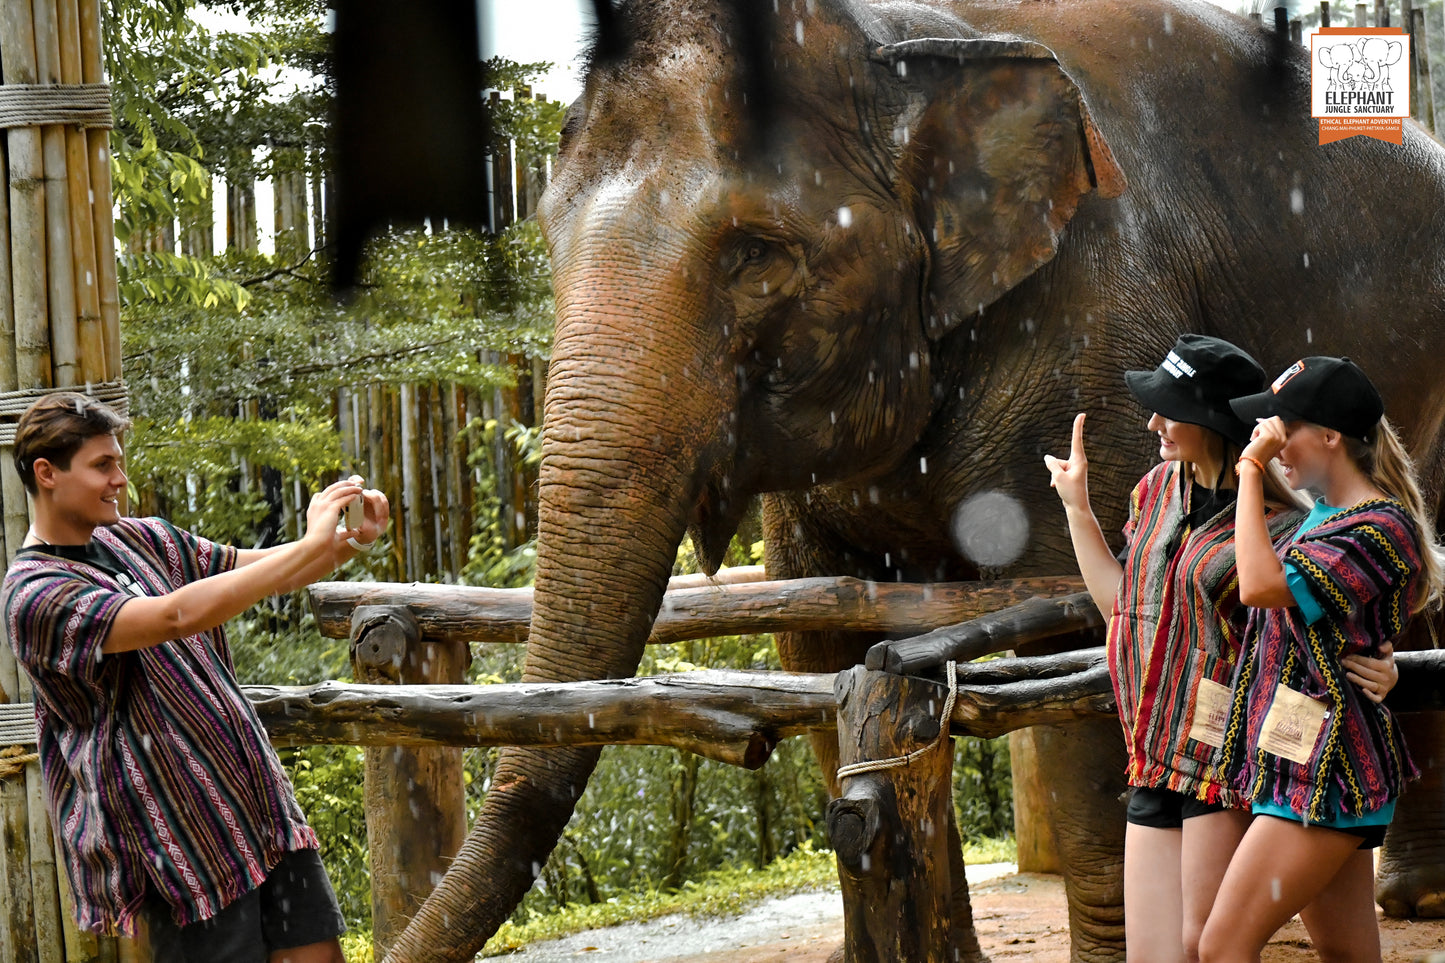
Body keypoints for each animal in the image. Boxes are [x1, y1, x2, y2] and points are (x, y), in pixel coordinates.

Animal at [381, 1, 1445, 960]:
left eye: (757, 255)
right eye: (546, 238)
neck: (890, 42)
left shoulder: (1090, 329)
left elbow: (1085, 655)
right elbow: (821, 647)